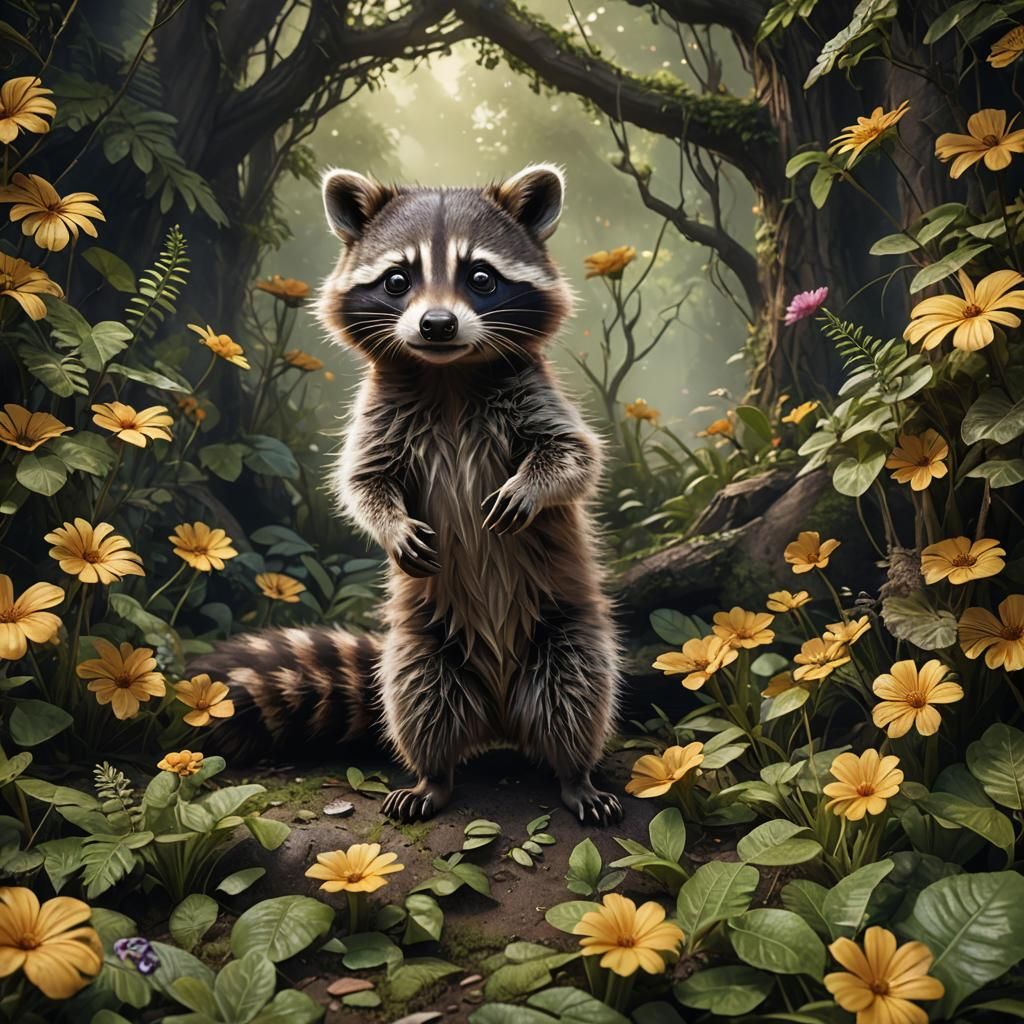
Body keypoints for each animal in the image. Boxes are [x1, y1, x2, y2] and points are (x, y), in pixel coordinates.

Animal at [200, 165, 623, 825]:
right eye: (398, 280)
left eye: (481, 278)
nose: (437, 325)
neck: (448, 374)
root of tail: (500, 719)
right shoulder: (379, 413)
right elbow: (361, 481)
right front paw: (391, 526)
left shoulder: (534, 394)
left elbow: (576, 457)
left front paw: (530, 489)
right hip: (422, 647)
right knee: (419, 701)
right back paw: (434, 777)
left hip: (566, 632)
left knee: (576, 694)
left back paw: (574, 773)